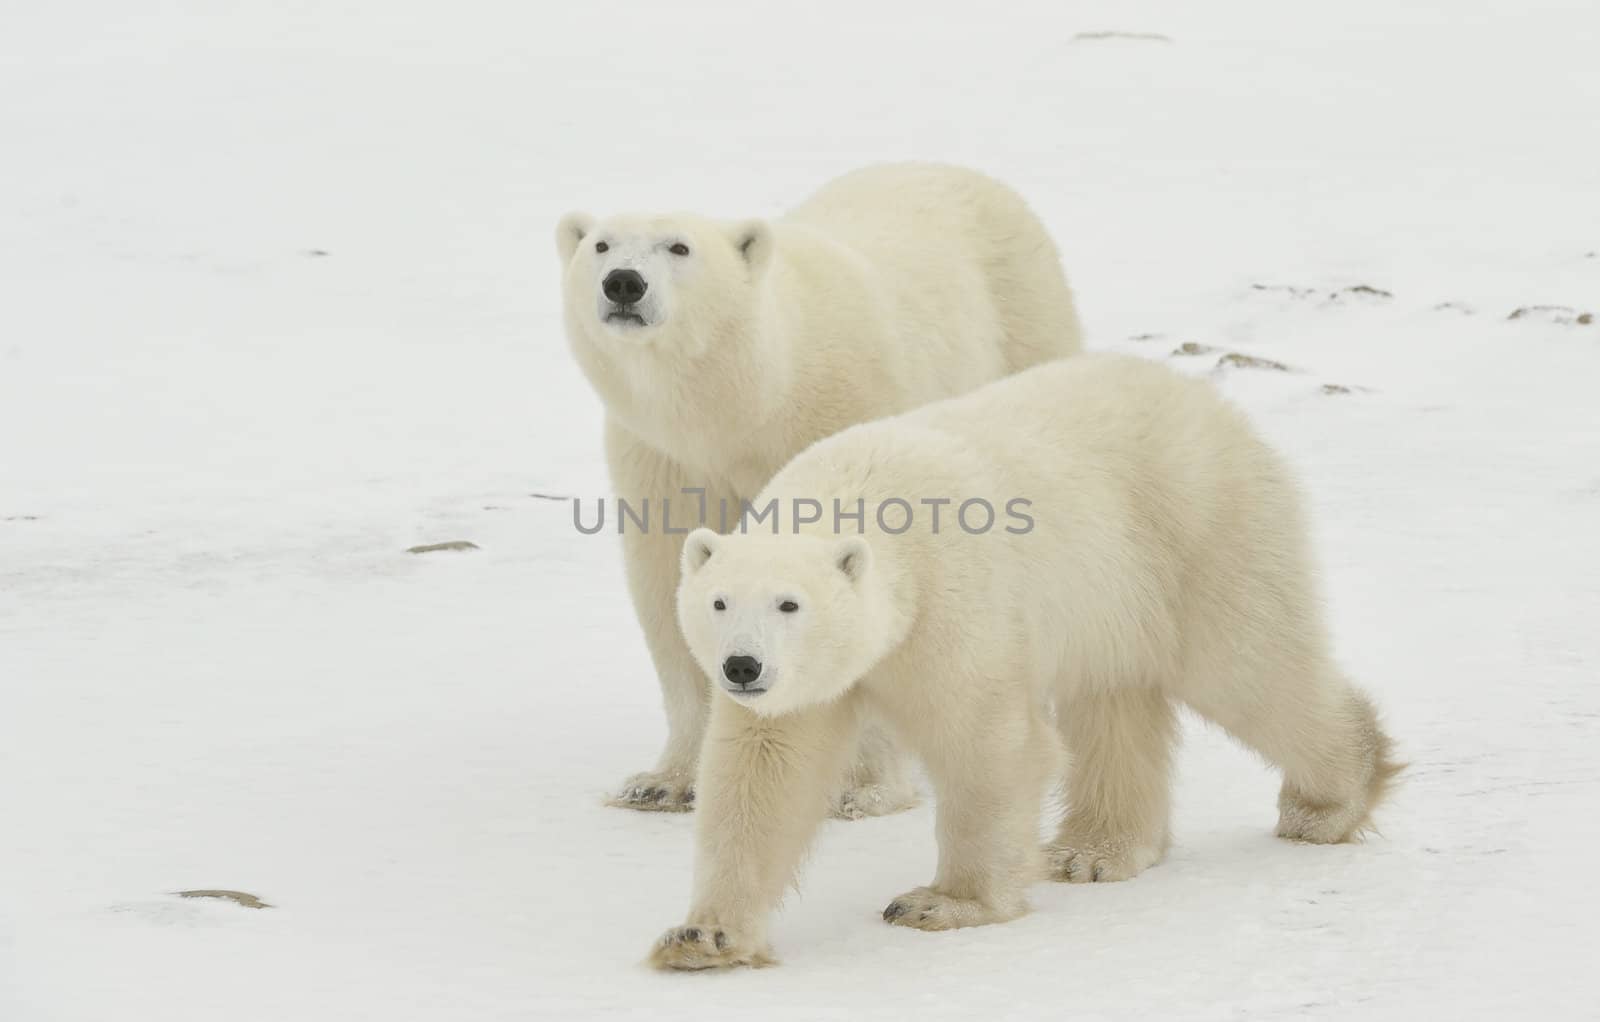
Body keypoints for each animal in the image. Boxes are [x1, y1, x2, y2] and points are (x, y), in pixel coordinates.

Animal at [556, 161, 1081, 815]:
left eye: (679, 247)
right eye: (601, 245)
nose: (623, 284)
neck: (753, 397)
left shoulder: (839, 414)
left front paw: (863, 787)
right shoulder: (665, 457)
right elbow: (670, 585)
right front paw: (663, 782)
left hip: (1023, 327)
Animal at [649, 355, 1401, 972]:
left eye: (790, 603)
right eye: (719, 601)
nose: (742, 668)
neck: (861, 491)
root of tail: (1214, 404)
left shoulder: (950, 601)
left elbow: (989, 743)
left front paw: (941, 902)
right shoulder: (804, 688)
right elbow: (764, 774)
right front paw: (702, 936)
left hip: (1198, 531)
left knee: (1250, 665)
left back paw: (1329, 801)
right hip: (1117, 598)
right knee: (1117, 703)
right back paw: (1091, 852)